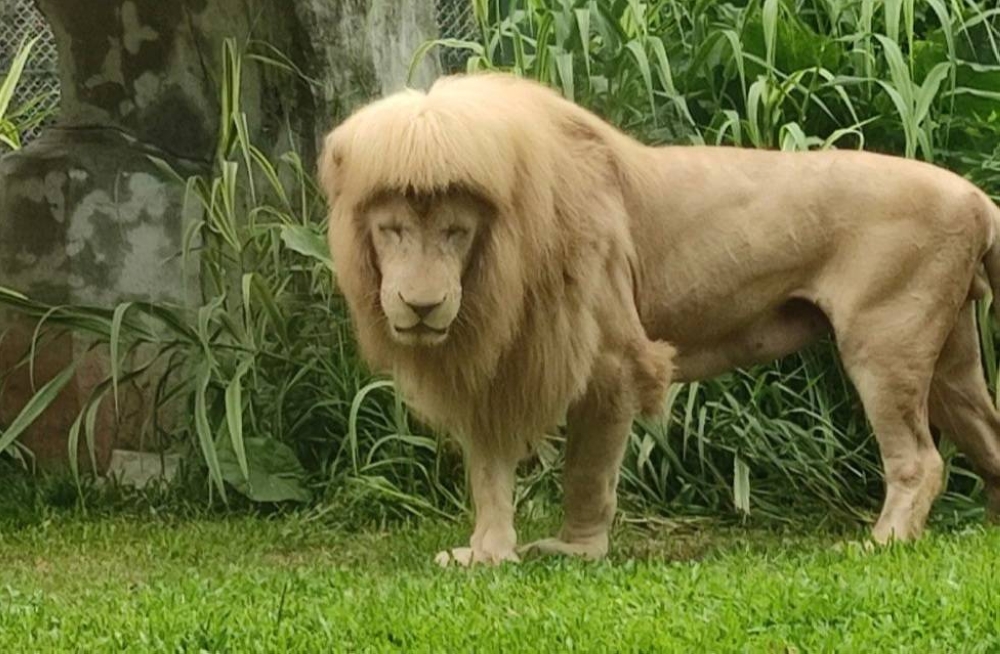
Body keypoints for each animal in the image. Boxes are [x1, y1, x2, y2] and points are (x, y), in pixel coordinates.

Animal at [318, 70, 1000, 564]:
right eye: (392, 230)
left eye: (456, 232)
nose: (422, 305)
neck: (496, 267)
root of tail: (975, 195)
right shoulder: (494, 367)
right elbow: (489, 474)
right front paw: (485, 555)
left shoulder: (613, 361)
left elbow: (587, 471)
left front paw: (575, 551)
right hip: (951, 361)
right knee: (988, 435)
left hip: (884, 344)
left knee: (921, 460)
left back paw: (880, 542)